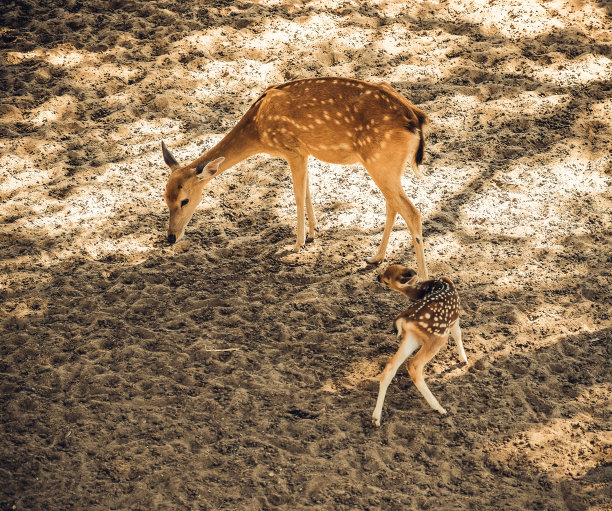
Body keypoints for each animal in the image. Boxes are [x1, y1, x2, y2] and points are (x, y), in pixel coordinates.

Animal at [163, 77, 430, 276]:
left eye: (184, 200)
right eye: (165, 198)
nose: (170, 237)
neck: (258, 131)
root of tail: (417, 119)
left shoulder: (293, 150)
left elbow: (298, 195)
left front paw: (297, 243)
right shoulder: (305, 151)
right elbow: (308, 189)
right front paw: (313, 233)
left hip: (379, 161)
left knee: (412, 212)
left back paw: (421, 280)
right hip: (388, 166)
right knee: (393, 205)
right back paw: (376, 257)